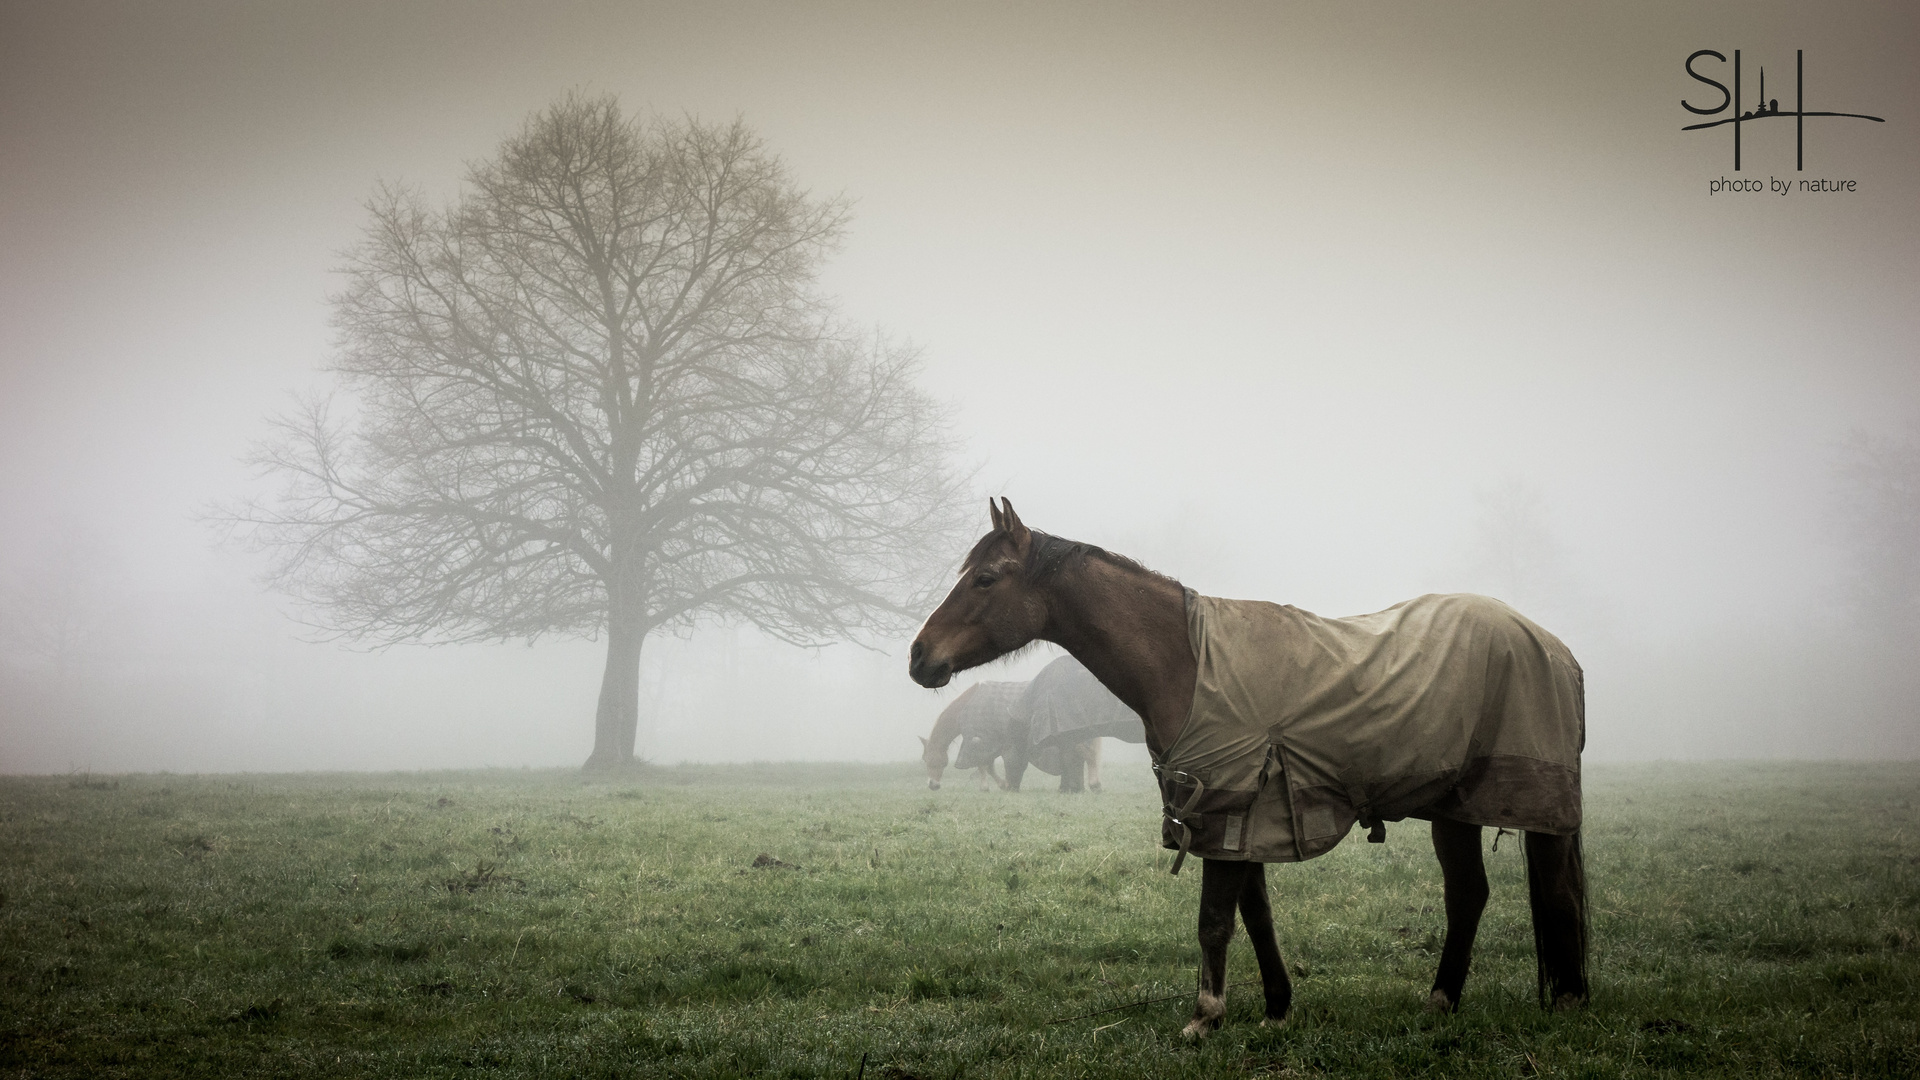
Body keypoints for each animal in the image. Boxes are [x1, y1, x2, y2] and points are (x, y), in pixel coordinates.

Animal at [910, 499, 1589, 1037]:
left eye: (985, 579)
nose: (920, 656)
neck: (1185, 662)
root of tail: (1554, 647)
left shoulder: (1222, 810)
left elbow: (1215, 920)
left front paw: (1204, 1017)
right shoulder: (1245, 823)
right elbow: (1256, 915)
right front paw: (1277, 1006)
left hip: (1528, 807)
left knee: (1552, 890)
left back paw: (1564, 1001)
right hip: (1455, 806)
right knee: (1468, 895)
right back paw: (1441, 1002)